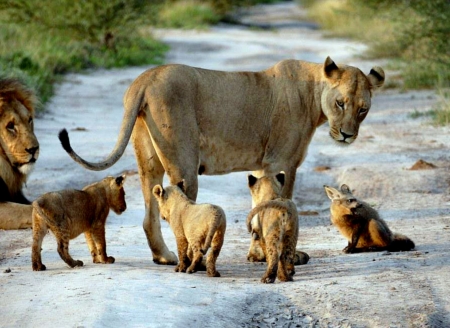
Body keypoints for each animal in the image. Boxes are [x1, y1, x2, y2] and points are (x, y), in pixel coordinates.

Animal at [58, 57, 384, 266]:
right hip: (184, 162)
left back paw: (164, 257)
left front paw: (257, 254)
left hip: (148, 160)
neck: (314, 95)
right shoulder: (282, 163)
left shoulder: (263, 165)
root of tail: (145, 79)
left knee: (150, 213)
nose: (347, 135)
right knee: (179, 211)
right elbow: (281, 206)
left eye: (363, 109)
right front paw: (284, 255)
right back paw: (195, 263)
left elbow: (259, 205)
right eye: (340, 103)